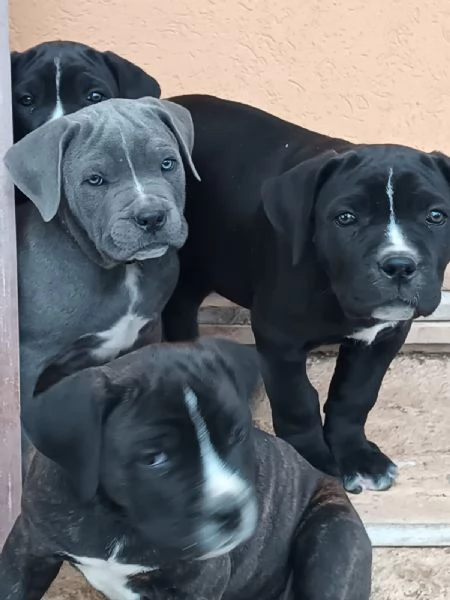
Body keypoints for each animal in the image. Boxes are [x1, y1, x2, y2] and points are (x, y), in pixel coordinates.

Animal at [0, 340, 370, 596]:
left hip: (333, 539)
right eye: (154, 458)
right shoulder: (27, 548)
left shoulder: (199, 582)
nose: (231, 513)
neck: (117, 518)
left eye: (237, 435)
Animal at [3, 96, 200, 458]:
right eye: (94, 180)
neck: (124, 271)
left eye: (167, 164)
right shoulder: (26, 361)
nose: (151, 216)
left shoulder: (149, 331)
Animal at [163, 92, 450, 492]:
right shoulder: (278, 338)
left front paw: (357, 455)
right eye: (345, 218)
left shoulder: (383, 336)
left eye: (436, 216)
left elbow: (354, 395)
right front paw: (312, 459)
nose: (398, 265)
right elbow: (297, 401)